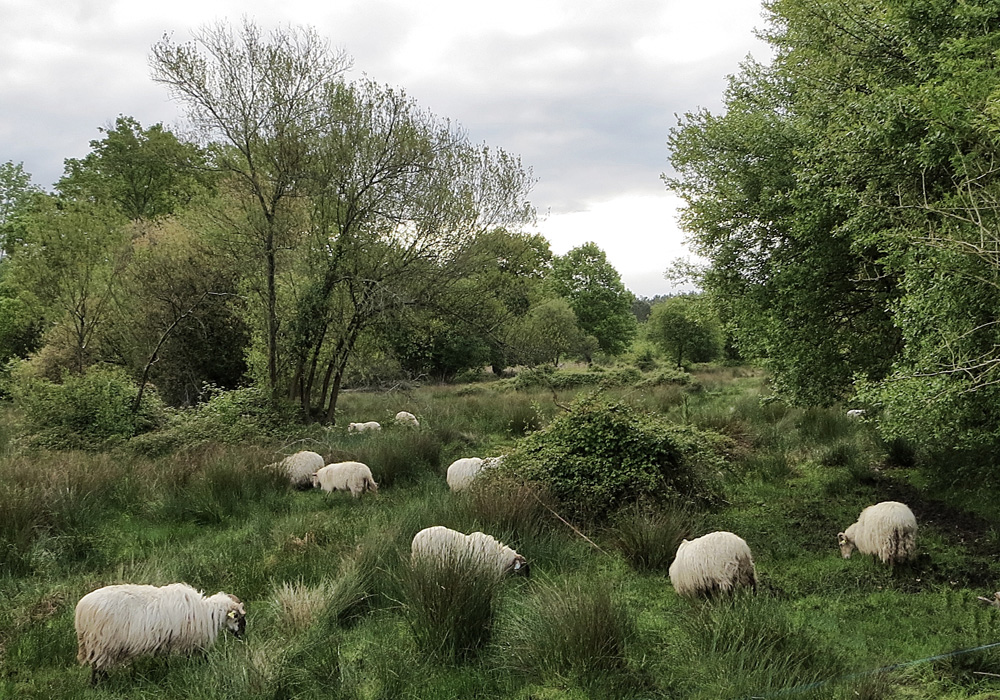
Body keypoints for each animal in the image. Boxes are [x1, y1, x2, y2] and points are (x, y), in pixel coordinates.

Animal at [74, 580, 246, 684]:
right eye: (238, 616)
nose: (243, 636)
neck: (206, 612)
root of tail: (81, 610)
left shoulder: (168, 640)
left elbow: (166, 660)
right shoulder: (188, 640)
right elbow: (198, 657)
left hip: (96, 644)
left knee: (96, 666)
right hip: (102, 642)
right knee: (98, 667)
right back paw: (102, 684)